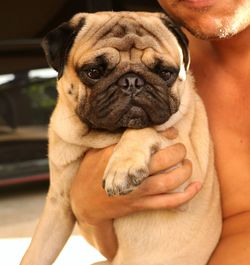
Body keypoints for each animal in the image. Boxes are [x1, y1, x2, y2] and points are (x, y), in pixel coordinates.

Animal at [20, 11, 222, 262]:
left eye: (165, 73)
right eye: (94, 72)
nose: (132, 81)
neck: (100, 137)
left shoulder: (185, 177)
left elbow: (143, 129)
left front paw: (122, 167)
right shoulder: (58, 205)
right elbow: (36, 251)